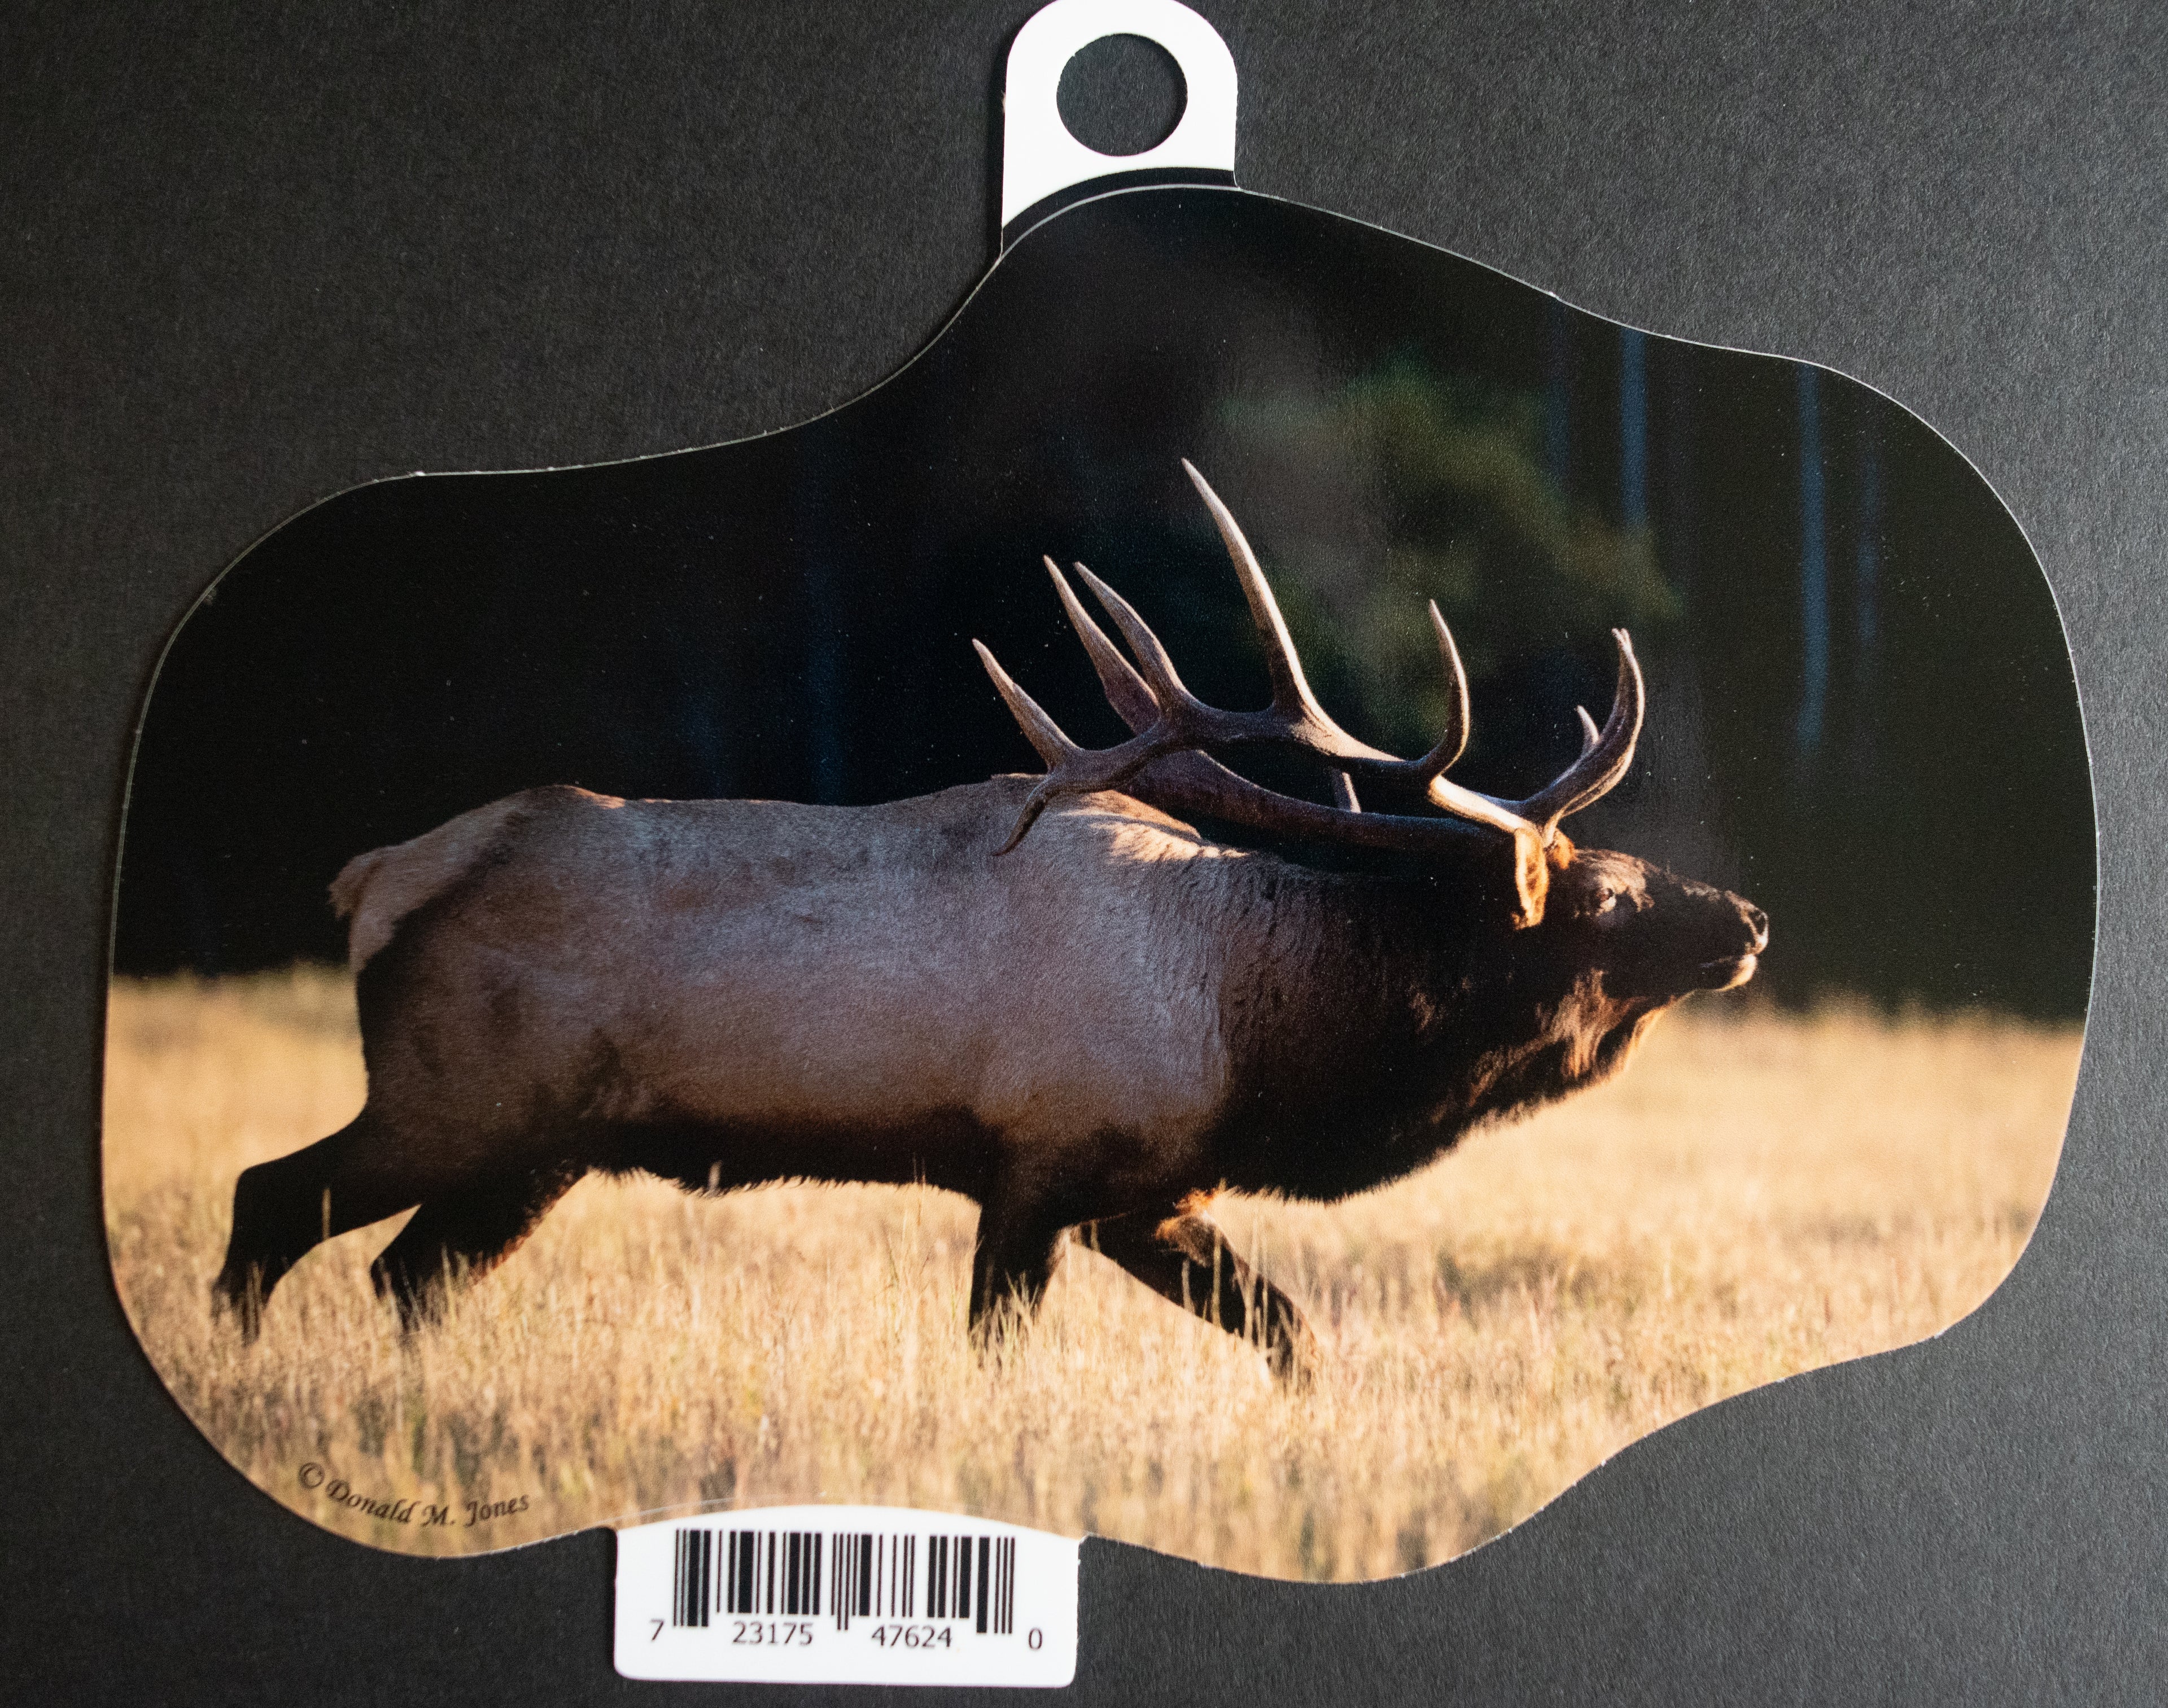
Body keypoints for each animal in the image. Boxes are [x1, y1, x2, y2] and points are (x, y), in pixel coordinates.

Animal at [213, 463, 1767, 1379]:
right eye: (1606, 890)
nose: (1748, 914)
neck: (1261, 1032)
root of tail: (377, 879)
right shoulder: (1037, 1162)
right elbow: (996, 1349)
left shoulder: (1155, 1193)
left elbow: (1291, 1334)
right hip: (459, 1096)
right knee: (272, 1200)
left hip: (538, 1143)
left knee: (406, 1274)